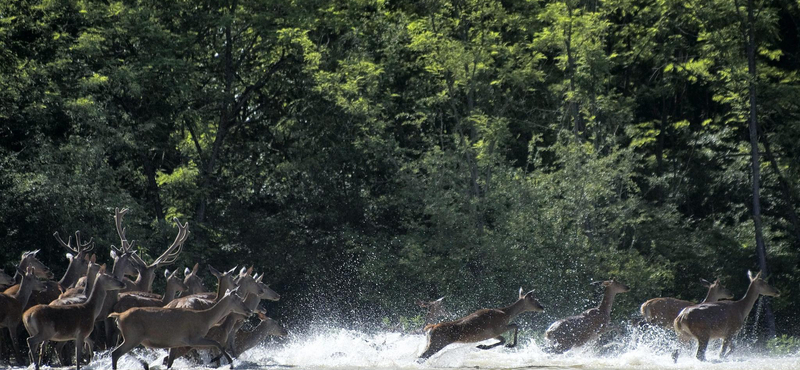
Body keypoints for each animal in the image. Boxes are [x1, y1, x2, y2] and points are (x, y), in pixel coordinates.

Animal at [110, 286, 253, 370]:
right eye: (239, 299)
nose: (249, 311)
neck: (205, 319)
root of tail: (118, 316)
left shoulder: (176, 343)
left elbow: (169, 363)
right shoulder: (193, 338)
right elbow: (217, 343)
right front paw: (229, 363)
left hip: (130, 337)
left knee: (117, 350)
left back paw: (145, 364)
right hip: (133, 336)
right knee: (115, 352)